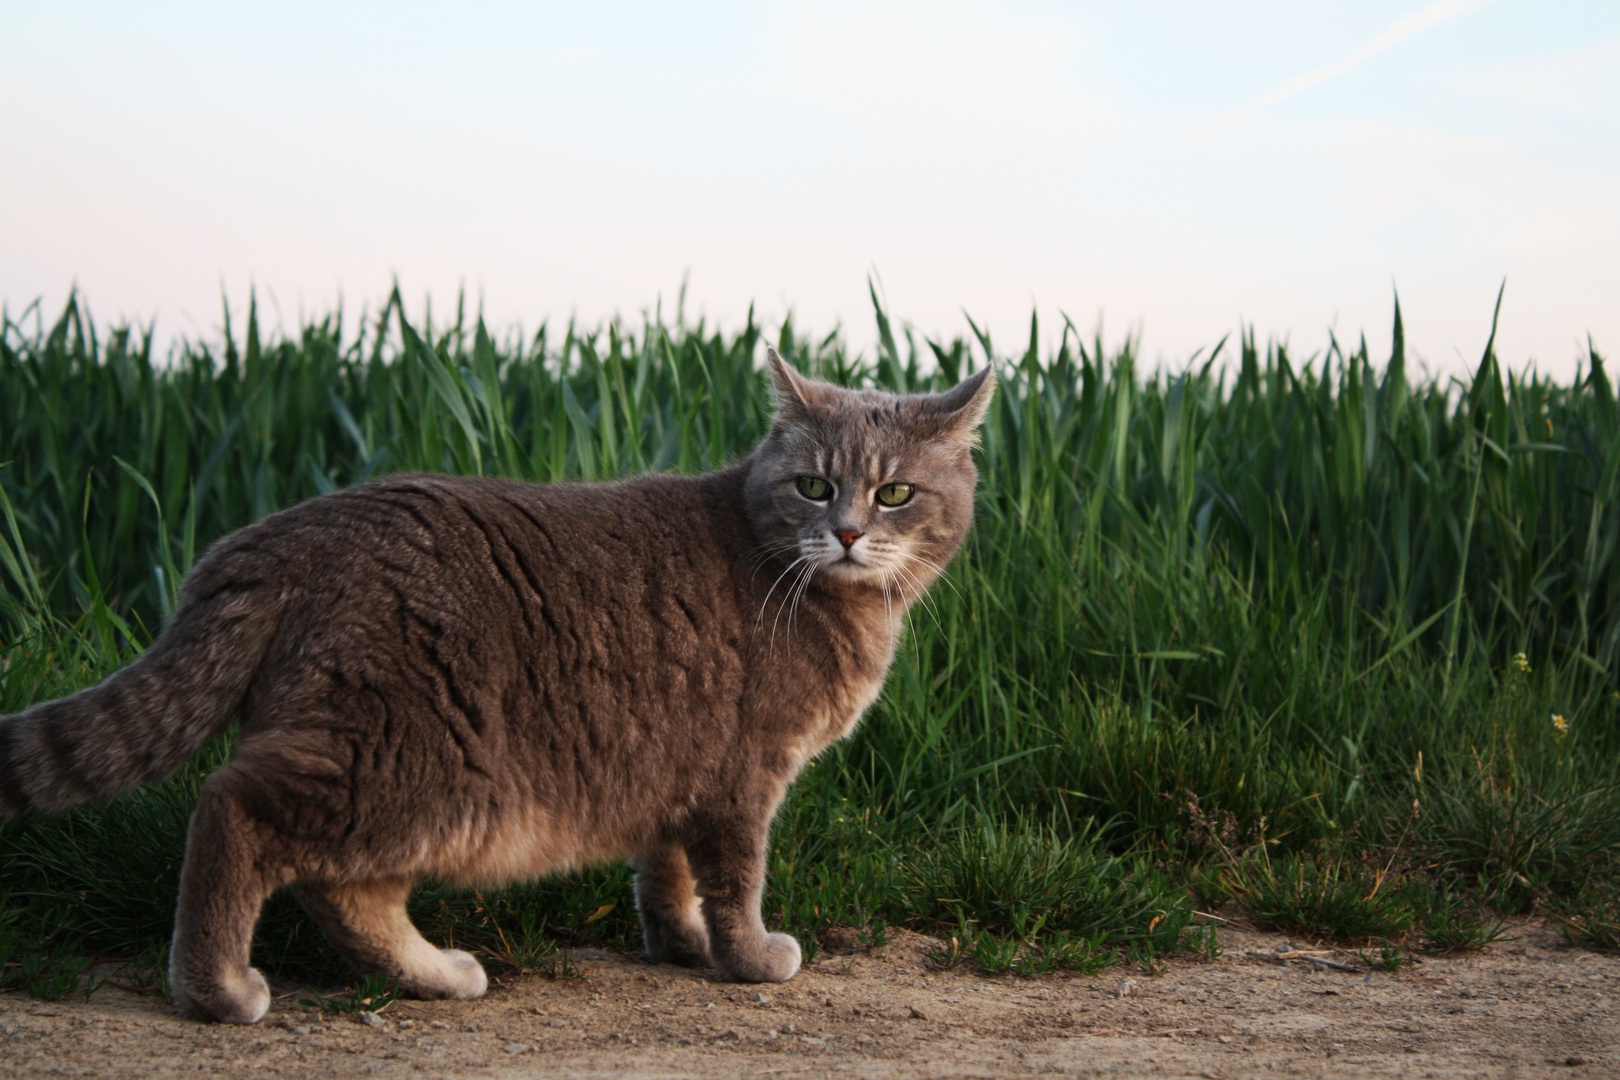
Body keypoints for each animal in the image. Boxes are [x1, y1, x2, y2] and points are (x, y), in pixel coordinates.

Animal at [0, 351, 991, 1029]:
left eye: (896, 493)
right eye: (815, 485)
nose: (851, 532)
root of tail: (267, 540)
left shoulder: (673, 757)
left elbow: (665, 868)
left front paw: (681, 946)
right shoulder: (745, 773)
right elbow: (736, 877)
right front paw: (746, 955)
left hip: (408, 774)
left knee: (348, 894)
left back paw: (436, 973)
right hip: (401, 755)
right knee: (235, 811)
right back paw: (216, 988)